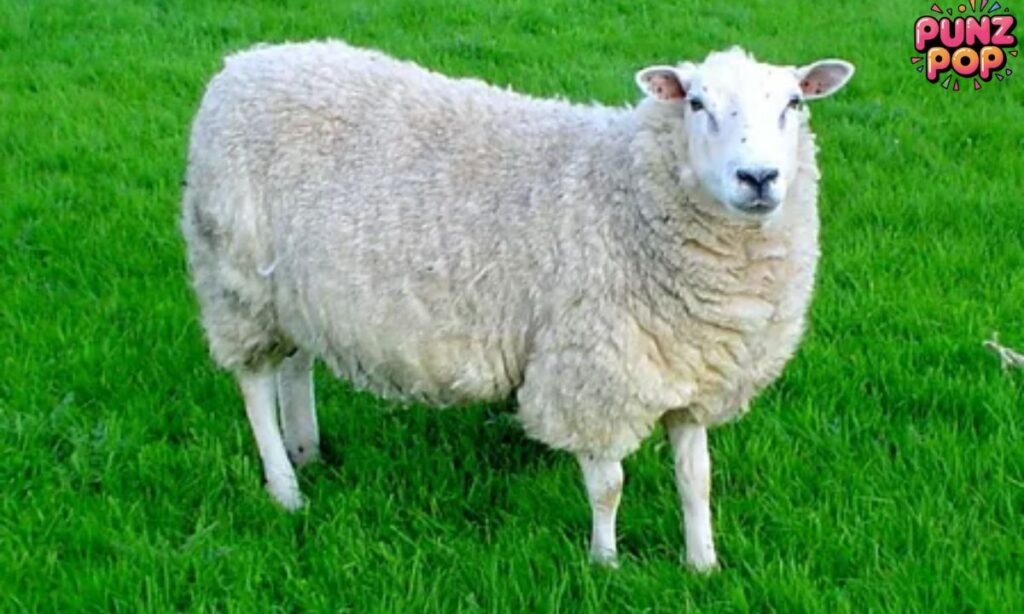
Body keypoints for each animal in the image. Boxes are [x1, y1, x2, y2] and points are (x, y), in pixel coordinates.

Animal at [181, 40, 854, 570]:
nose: (758, 178)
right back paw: (285, 486)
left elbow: (697, 481)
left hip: (292, 290)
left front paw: (703, 565)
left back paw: (308, 450)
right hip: (235, 278)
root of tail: (242, 64)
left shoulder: (687, 368)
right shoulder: (592, 371)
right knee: (255, 383)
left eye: (794, 103)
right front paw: (605, 564)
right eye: (695, 103)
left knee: (296, 365)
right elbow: (608, 485)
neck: (628, 195)